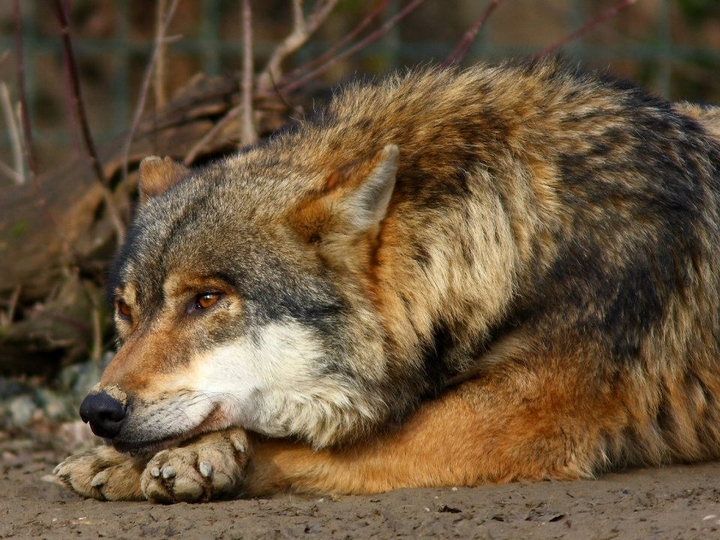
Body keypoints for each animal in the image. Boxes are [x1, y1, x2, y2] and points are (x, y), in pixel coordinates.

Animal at [55, 58, 720, 503]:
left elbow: (302, 445)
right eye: (125, 311)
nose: (97, 409)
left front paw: (174, 460)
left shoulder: (505, 426)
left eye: (207, 299)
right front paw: (126, 459)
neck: (510, 226)